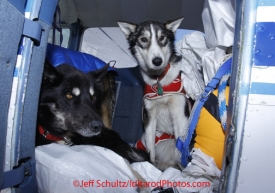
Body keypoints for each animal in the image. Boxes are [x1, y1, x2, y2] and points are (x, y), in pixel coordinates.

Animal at [117, 18, 191, 170]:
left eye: (162, 37)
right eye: (144, 39)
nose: (157, 61)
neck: (159, 80)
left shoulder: (179, 113)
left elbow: (180, 147)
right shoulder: (150, 116)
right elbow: (150, 149)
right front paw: (149, 166)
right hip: (143, 140)